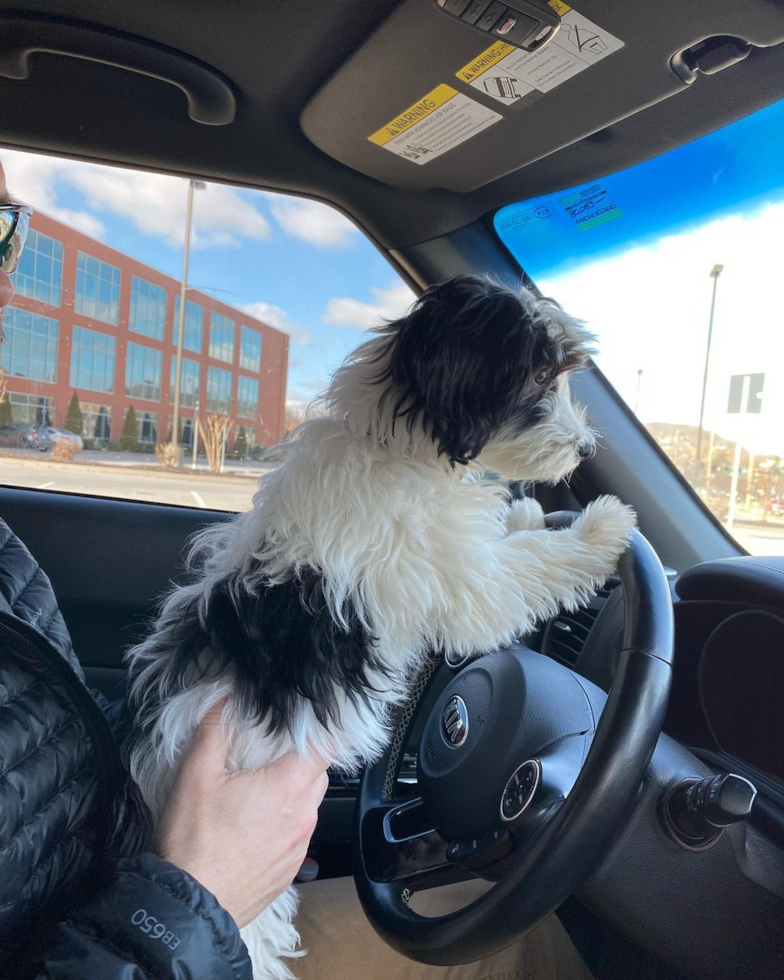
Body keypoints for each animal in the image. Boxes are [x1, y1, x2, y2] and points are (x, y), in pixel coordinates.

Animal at [125, 276, 632, 980]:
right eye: (537, 375)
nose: (587, 448)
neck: (392, 445)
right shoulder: (462, 581)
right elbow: (526, 568)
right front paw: (603, 529)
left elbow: (514, 545)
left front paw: (528, 515)